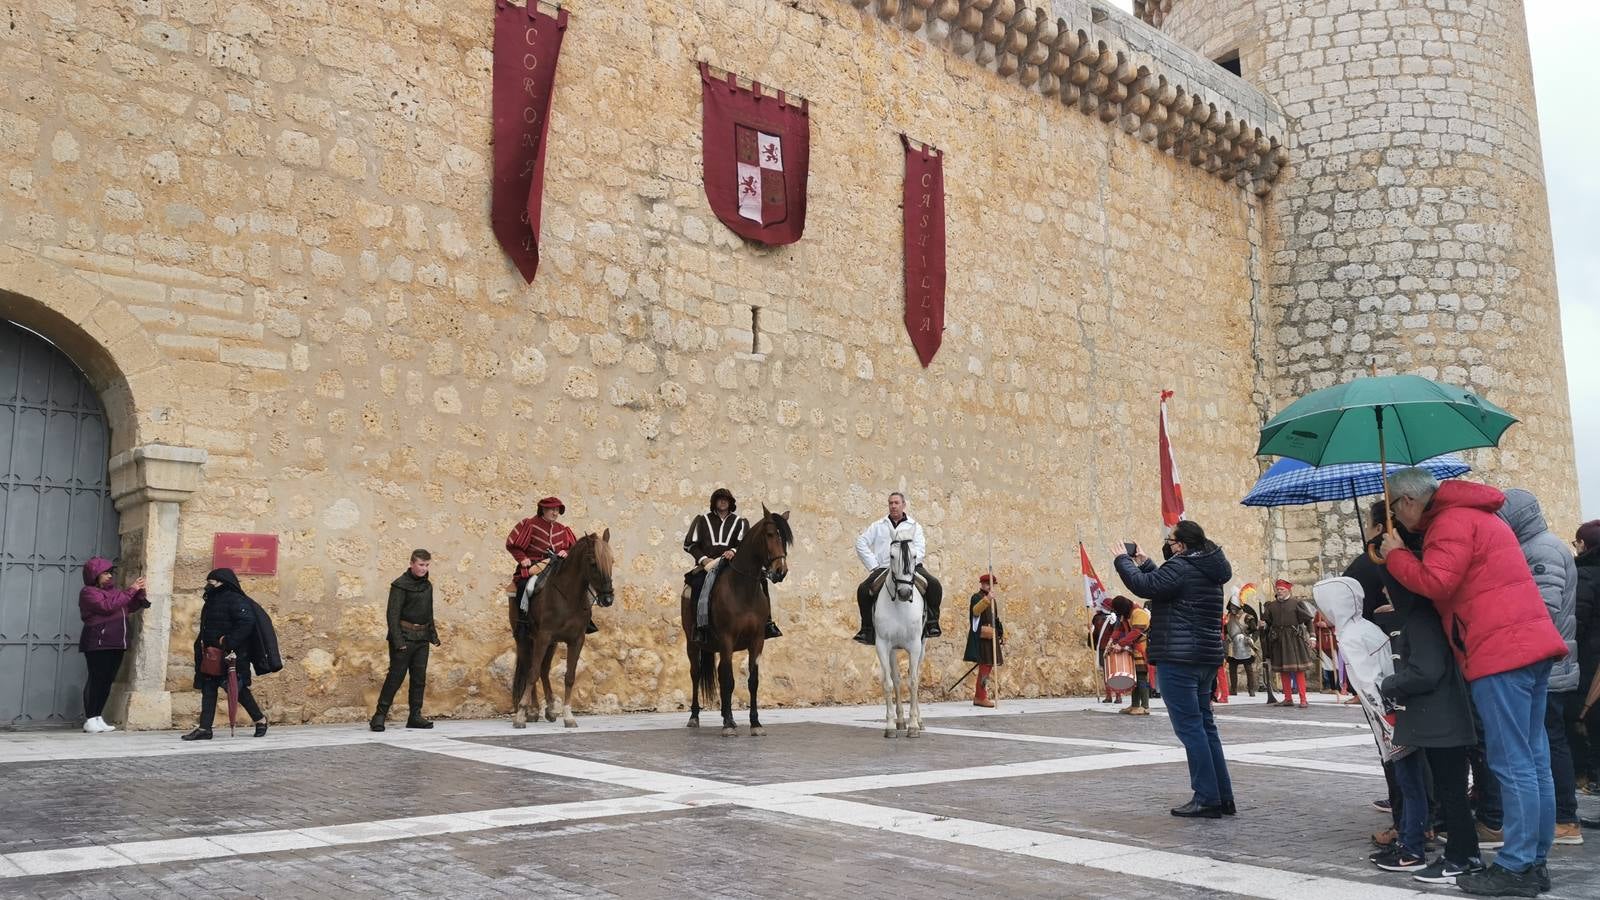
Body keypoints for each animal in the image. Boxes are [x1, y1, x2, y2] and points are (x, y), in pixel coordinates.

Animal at [508, 528, 614, 723]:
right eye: (593, 564)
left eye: (612, 561)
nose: (608, 599)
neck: (568, 597)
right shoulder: (543, 637)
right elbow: (532, 673)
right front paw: (521, 714)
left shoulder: (576, 640)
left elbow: (569, 677)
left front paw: (568, 715)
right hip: (525, 639)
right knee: (529, 668)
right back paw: (532, 711)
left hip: (552, 643)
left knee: (543, 671)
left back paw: (548, 708)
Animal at [681, 499, 793, 733]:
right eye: (770, 534)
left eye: (785, 538)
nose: (780, 571)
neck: (742, 588)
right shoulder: (727, 639)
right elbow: (729, 680)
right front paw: (728, 725)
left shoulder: (757, 641)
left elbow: (752, 681)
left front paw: (755, 723)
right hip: (692, 643)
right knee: (696, 674)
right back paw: (696, 716)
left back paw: (728, 717)